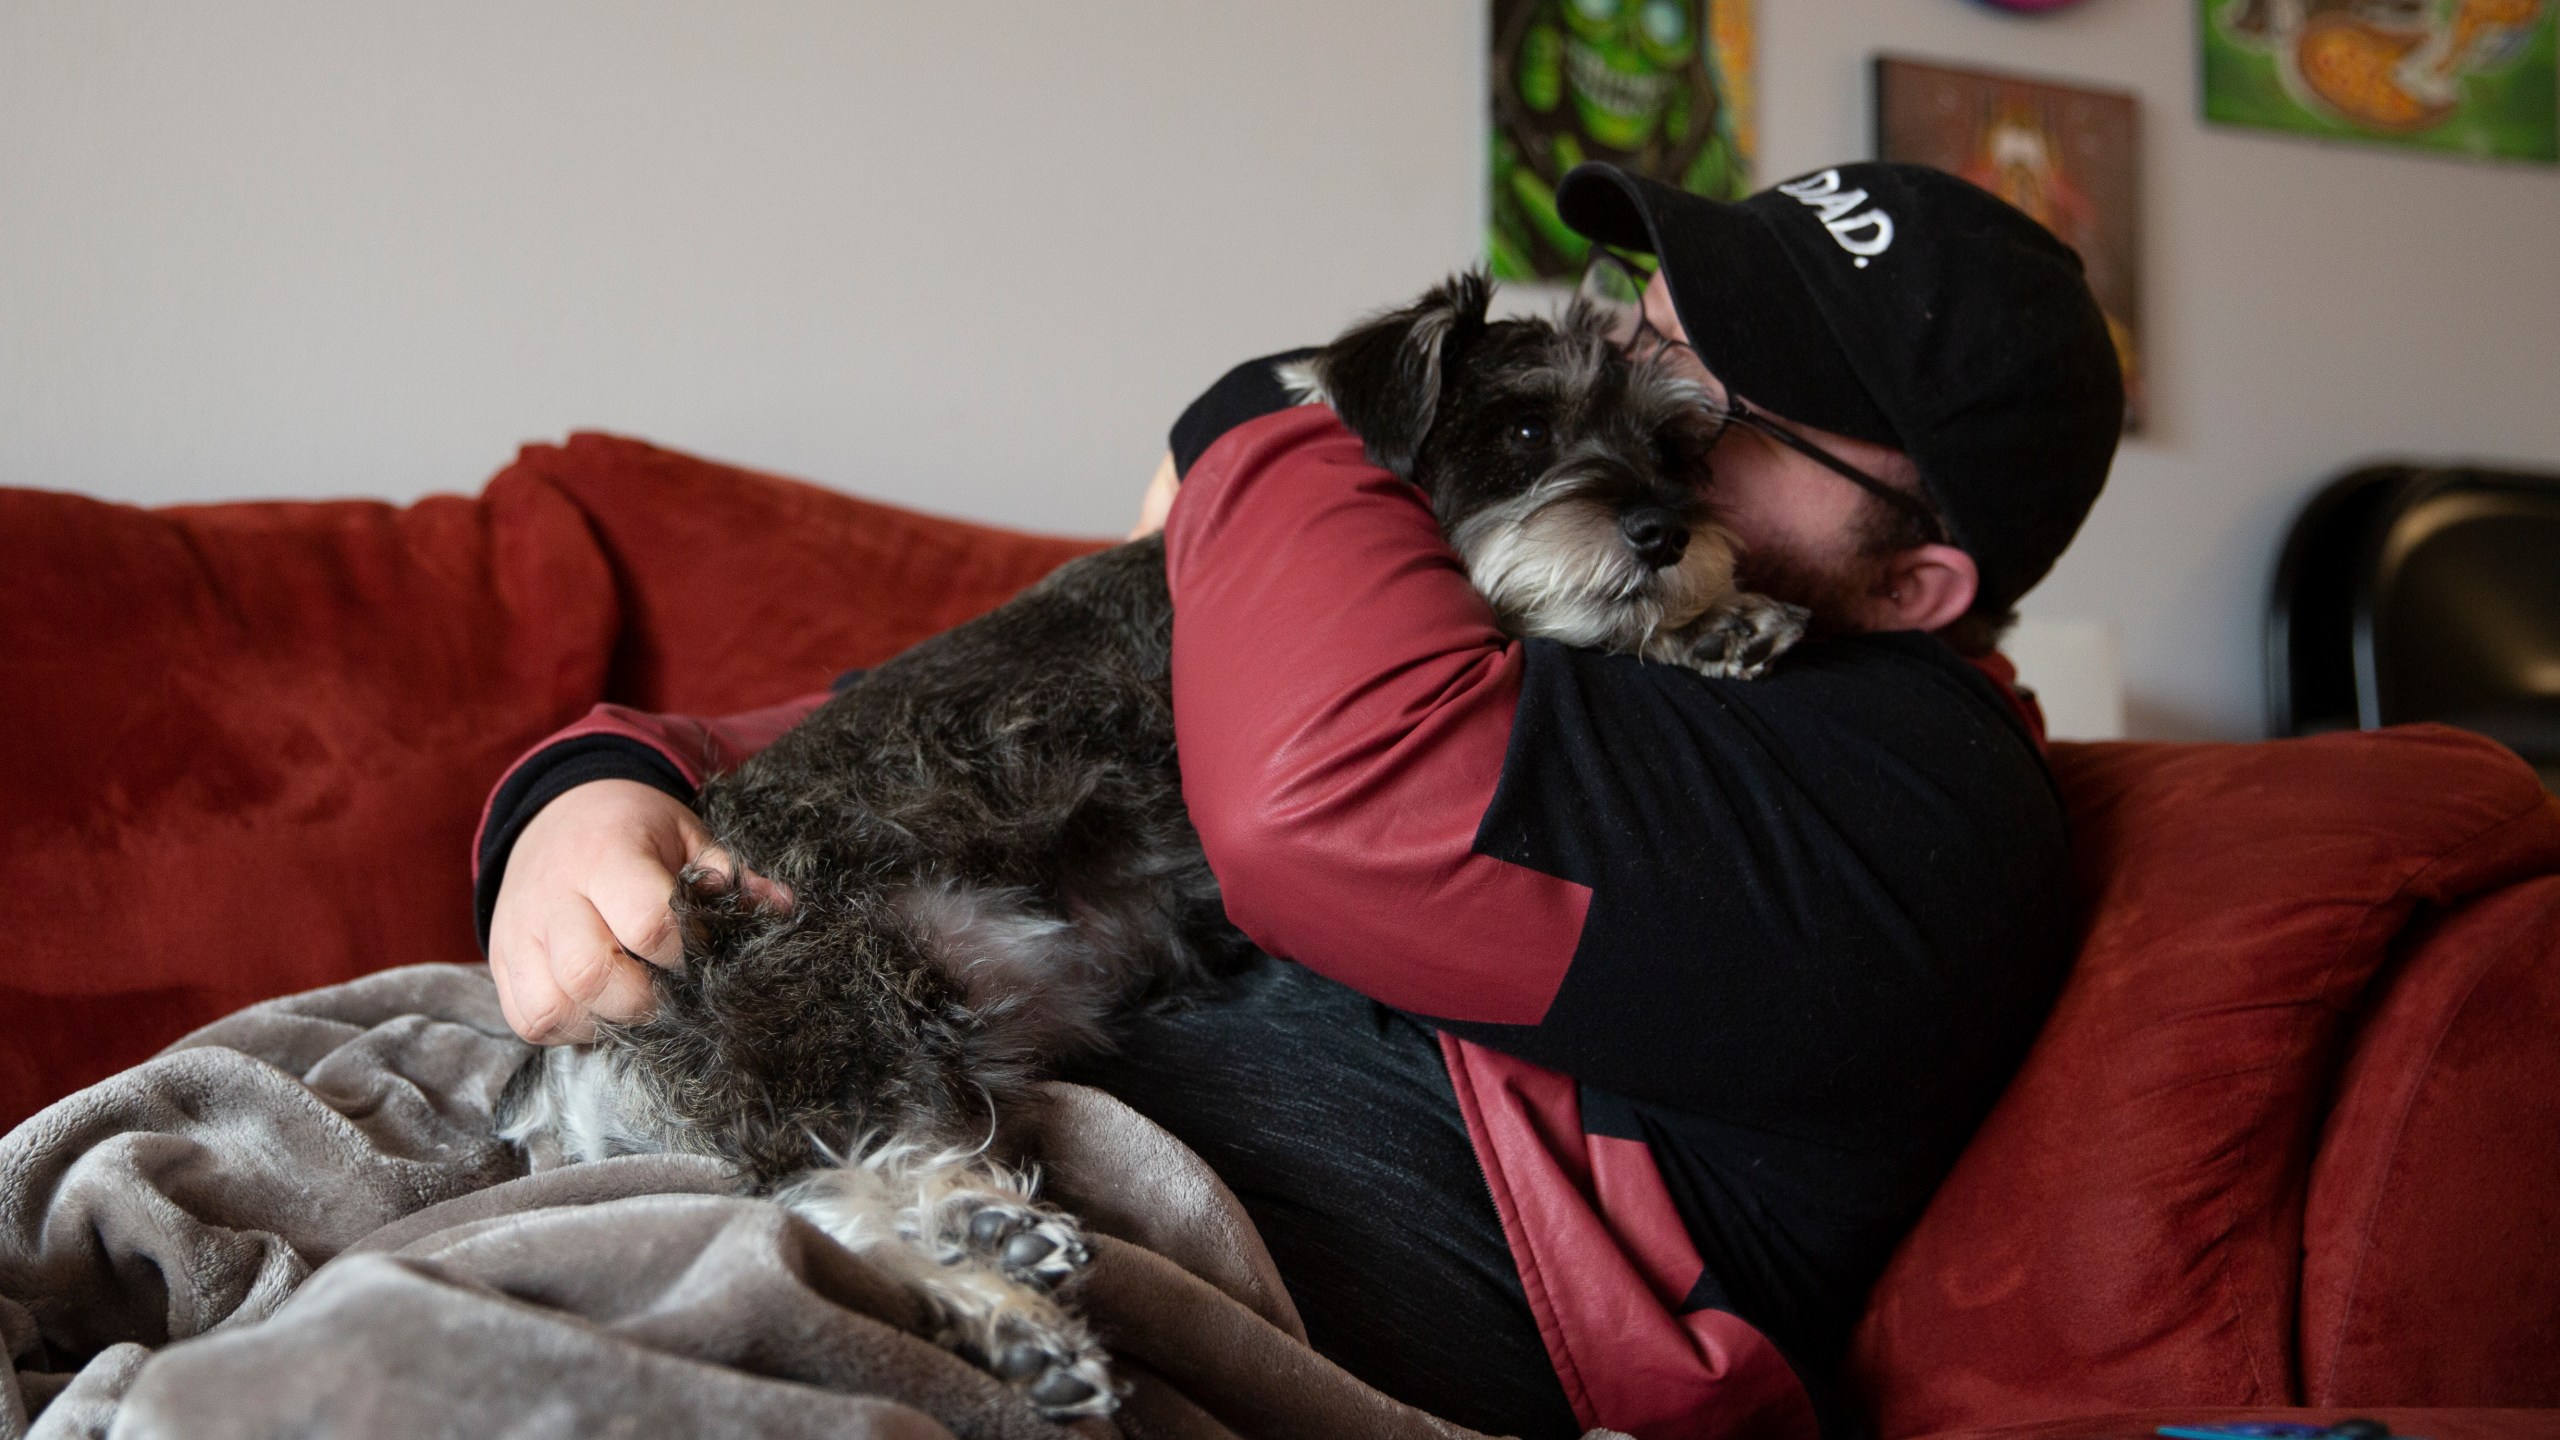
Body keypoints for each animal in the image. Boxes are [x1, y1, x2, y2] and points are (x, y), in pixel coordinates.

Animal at [499, 269, 1812, 1414]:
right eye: (1527, 427)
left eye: (1678, 448)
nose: (1665, 532)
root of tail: (571, 1085)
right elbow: (1536, 634)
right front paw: (1716, 622)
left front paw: (1722, 617)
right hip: (843, 991)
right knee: (821, 1189)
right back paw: (1002, 1299)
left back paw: (996, 1262)